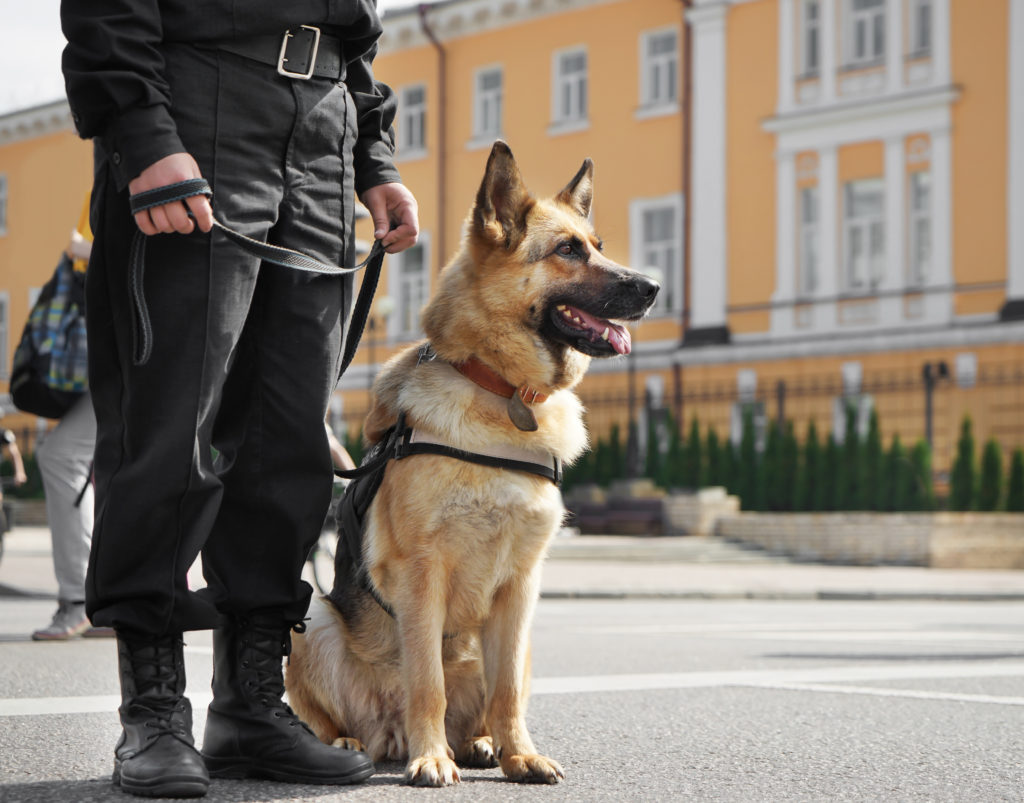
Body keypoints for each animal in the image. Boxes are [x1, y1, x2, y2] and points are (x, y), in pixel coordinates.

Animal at [284, 142, 659, 782]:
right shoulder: (422, 575)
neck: (502, 392)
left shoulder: (521, 588)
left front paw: (520, 754)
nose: (655, 286)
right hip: (310, 620)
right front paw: (431, 758)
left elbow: (505, 690)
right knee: (336, 714)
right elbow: (426, 681)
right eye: (567, 251)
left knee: (490, 698)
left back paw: (481, 744)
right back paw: (351, 744)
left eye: (598, 245)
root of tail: (386, 735)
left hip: (525, 641)